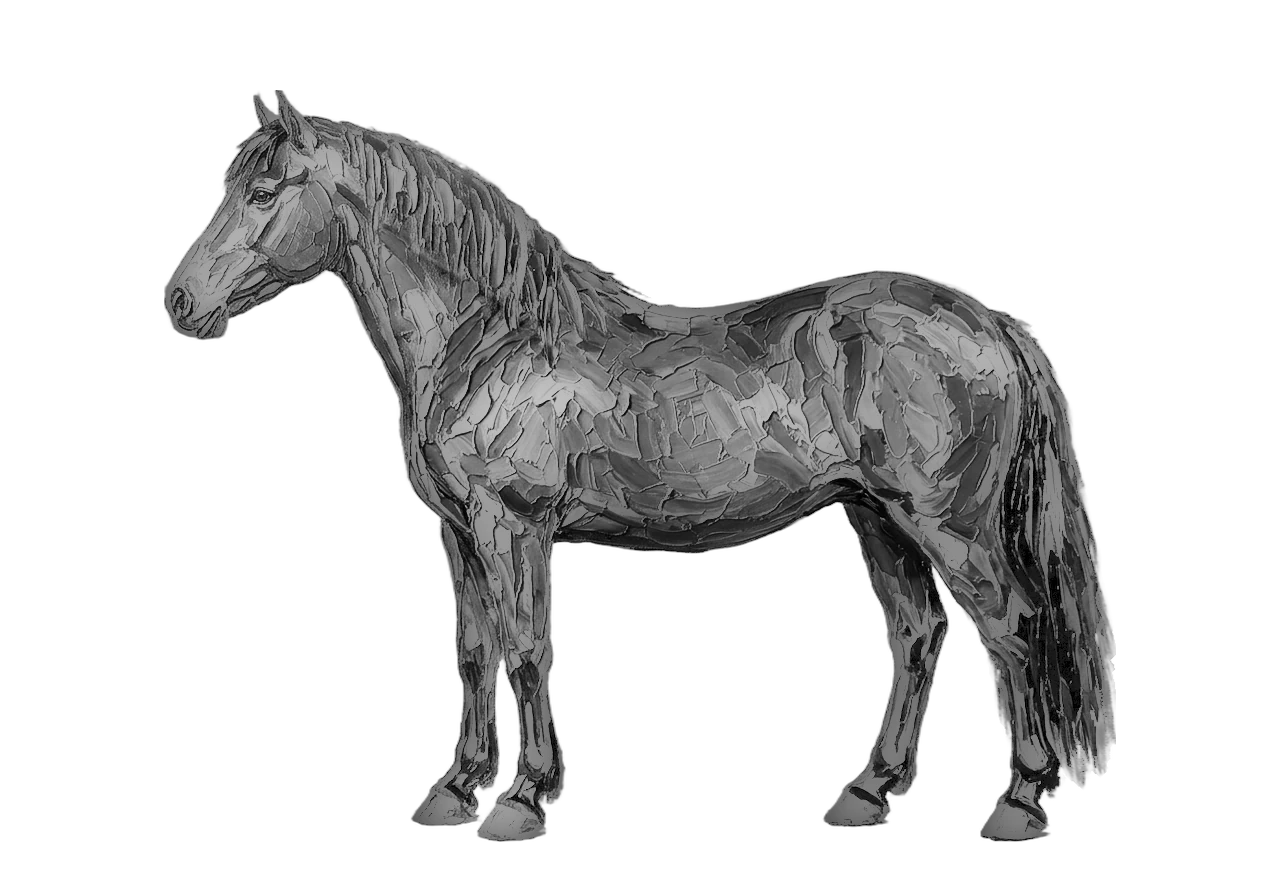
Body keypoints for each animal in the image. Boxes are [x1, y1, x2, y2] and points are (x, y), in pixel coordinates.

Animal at [166, 98, 1106, 841]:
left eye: (263, 190)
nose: (180, 302)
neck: (489, 345)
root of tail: (989, 324)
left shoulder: (511, 527)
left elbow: (522, 649)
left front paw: (520, 800)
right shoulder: (460, 536)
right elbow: (473, 654)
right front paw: (456, 793)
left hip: (951, 526)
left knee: (1014, 629)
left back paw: (1020, 804)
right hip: (878, 518)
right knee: (915, 636)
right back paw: (868, 796)